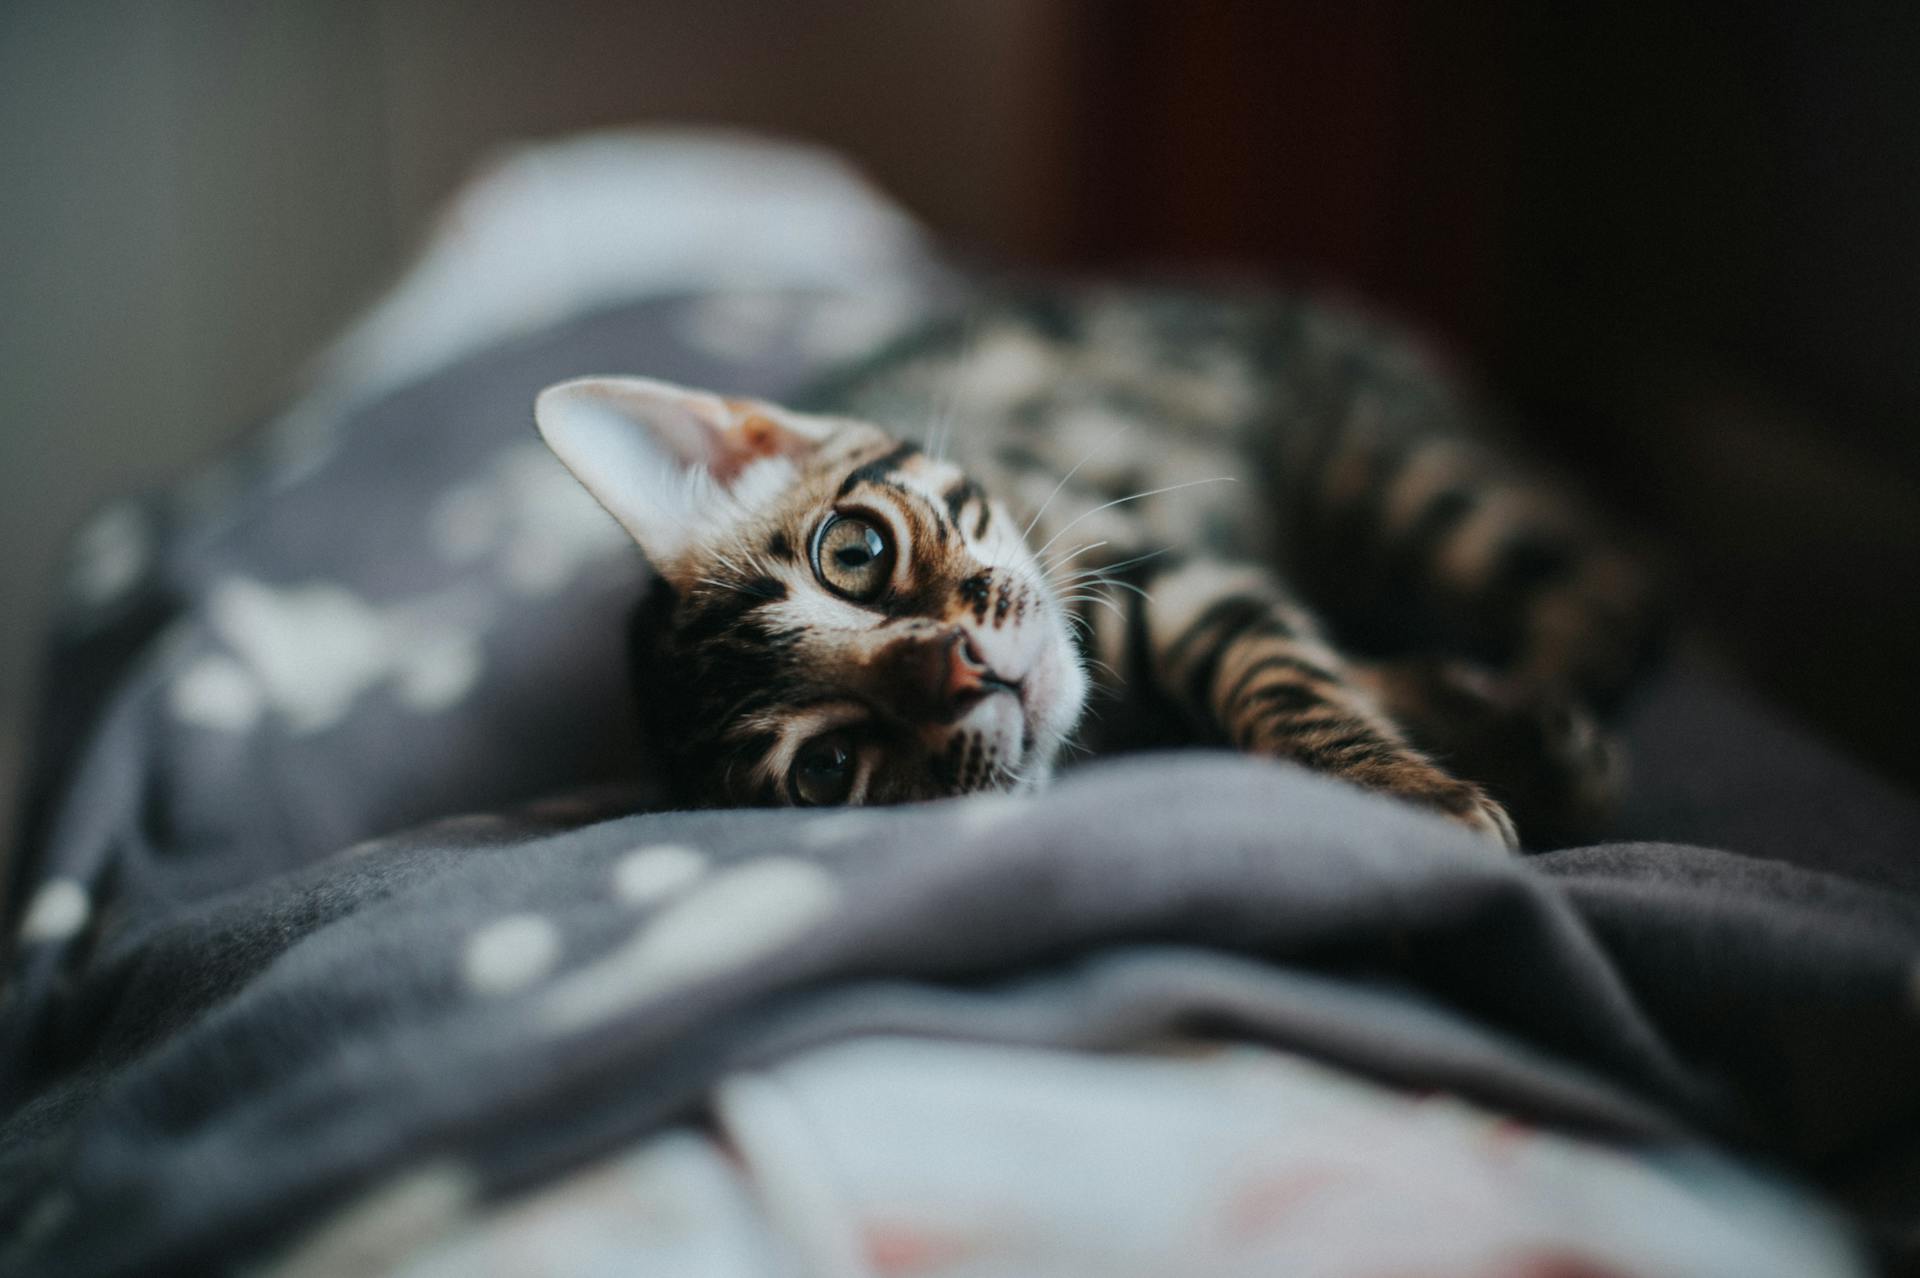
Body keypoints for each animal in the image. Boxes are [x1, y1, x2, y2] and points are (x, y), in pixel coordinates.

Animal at [537, 287, 1666, 844]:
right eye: (826, 769)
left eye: (852, 553)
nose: (963, 669)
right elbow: (1336, 667)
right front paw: (1491, 739)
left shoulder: (1169, 572)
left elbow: (1290, 680)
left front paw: (1412, 791)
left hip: (1391, 472)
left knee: (1616, 578)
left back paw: (1553, 675)